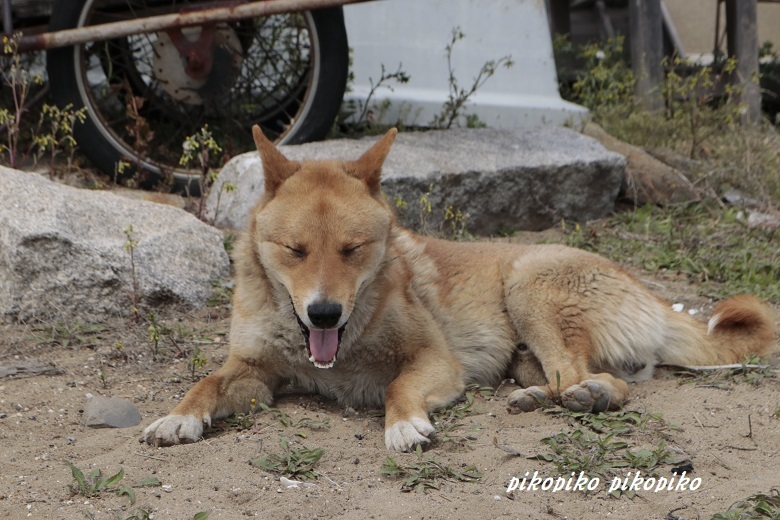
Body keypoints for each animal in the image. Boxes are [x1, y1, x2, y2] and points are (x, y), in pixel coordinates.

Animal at [143, 127, 776, 450]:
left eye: (352, 249)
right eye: (295, 251)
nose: (323, 313)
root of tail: (653, 296)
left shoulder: (434, 360)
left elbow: (398, 388)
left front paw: (403, 423)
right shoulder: (254, 372)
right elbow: (205, 383)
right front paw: (179, 417)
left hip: (528, 285)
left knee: (597, 381)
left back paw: (584, 397)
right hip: (529, 349)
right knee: (583, 378)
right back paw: (544, 396)